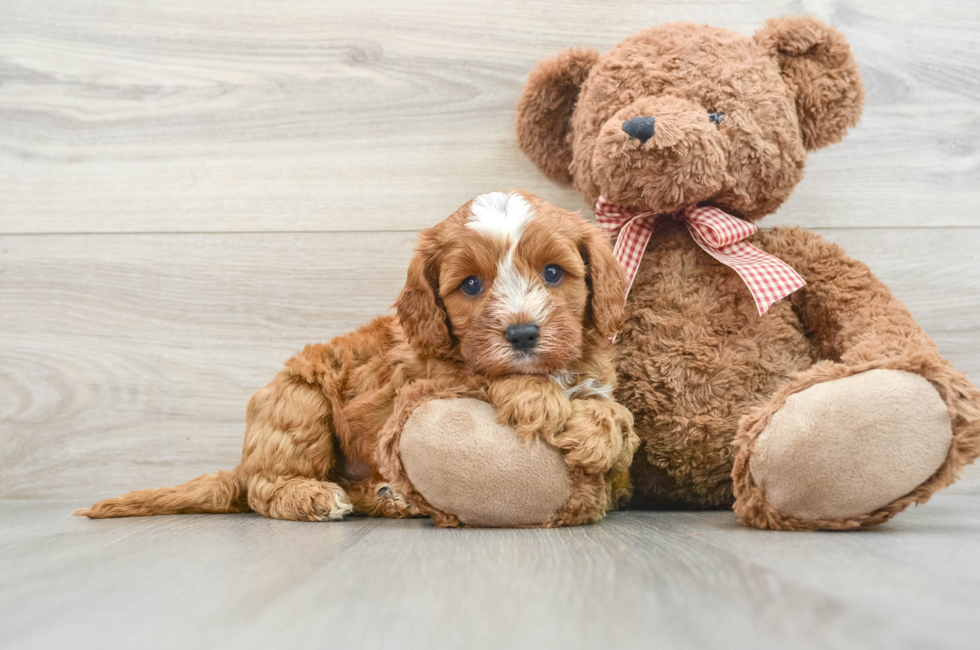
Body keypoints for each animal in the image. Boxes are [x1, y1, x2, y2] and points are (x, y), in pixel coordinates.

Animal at [76, 190, 636, 524]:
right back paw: (316, 496)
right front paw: (538, 398)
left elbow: (614, 409)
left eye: (553, 273)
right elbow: (478, 373)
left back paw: (389, 496)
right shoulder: (426, 377)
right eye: (472, 285)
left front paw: (598, 431)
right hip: (299, 404)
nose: (522, 334)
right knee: (262, 488)